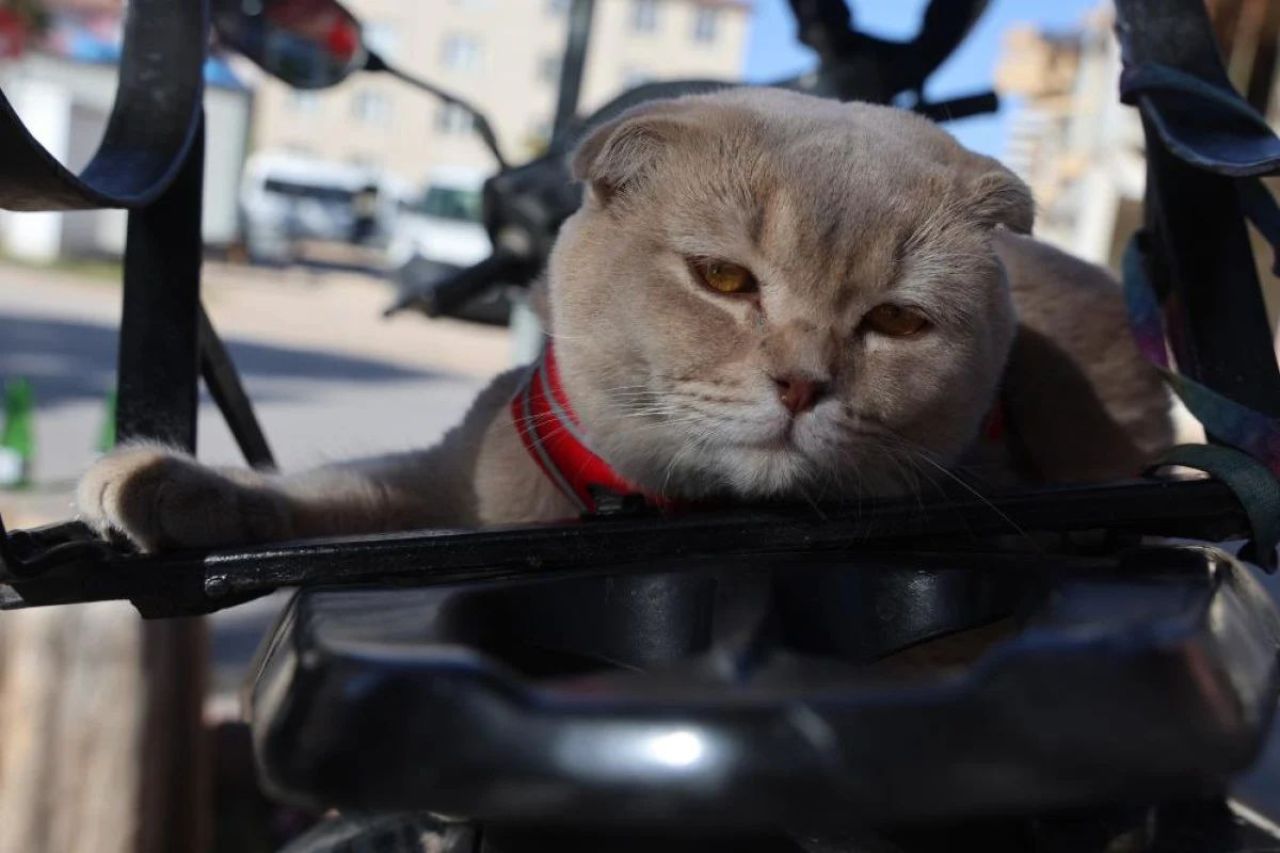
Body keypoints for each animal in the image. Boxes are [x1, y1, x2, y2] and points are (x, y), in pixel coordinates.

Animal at [70, 87, 1172, 550]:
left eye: (896, 322)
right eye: (724, 279)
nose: (801, 382)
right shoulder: (445, 476)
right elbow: (329, 488)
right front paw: (162, 486)